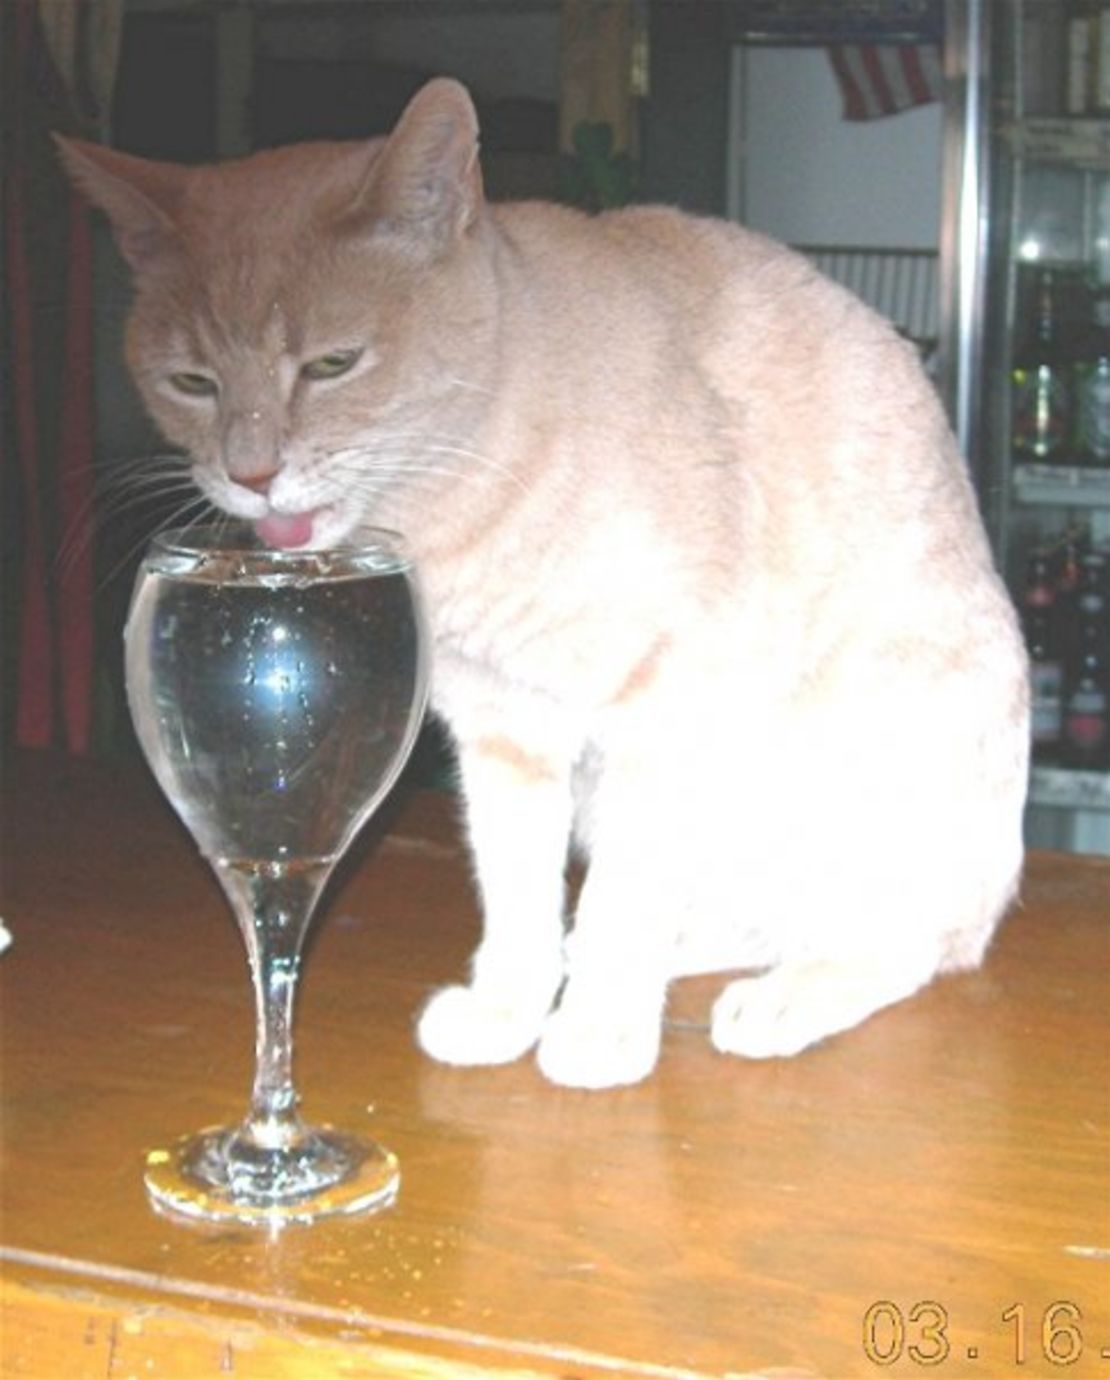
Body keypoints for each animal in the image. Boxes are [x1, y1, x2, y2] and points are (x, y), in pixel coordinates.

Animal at [58, 78, 1032, 1087]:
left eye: (332, 364)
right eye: (192, 382)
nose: (250, 476)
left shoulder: (661, 704)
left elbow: (620, 901)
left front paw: (598, 1025)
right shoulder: (503, 736)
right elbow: (520, 892)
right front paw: (512, 1008)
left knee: (901, 942)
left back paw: (782, 996)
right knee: (737, 919)